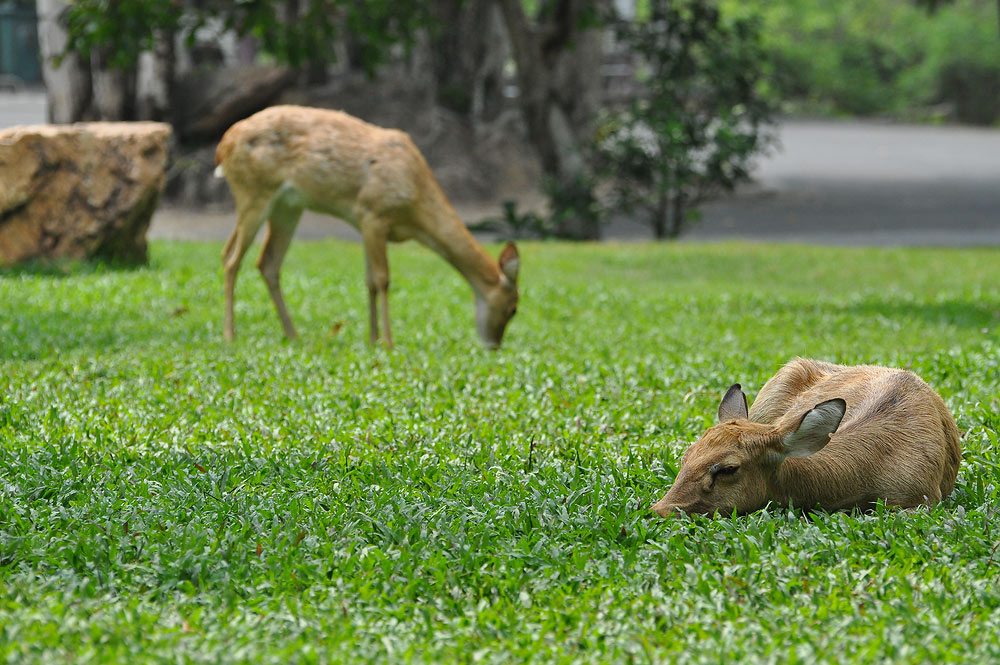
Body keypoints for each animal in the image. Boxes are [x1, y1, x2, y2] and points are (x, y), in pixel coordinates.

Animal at [214, 104, 520, 348]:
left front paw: (373, 339)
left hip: (287, 207)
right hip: (253, 191)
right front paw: (388, 341)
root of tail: (223, 146)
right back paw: (230, 335)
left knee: (266, 262)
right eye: (514, 308)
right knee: (231, 258)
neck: (415, 207)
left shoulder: (362, 222)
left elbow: (369, 280)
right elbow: (383, 279)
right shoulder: (374, 214)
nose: (494, 345)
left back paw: (293, 335)